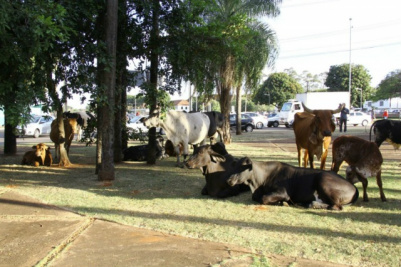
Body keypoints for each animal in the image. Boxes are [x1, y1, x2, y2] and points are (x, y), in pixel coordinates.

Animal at [227, 159, 358, 211]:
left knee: (336, 206)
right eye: (234, 166)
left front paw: (282, 202)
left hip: (323, 179)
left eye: (241, 168)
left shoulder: (283, 192)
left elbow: (264, 198)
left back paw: (312, 204)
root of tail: (354, 187)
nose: (229, 180)